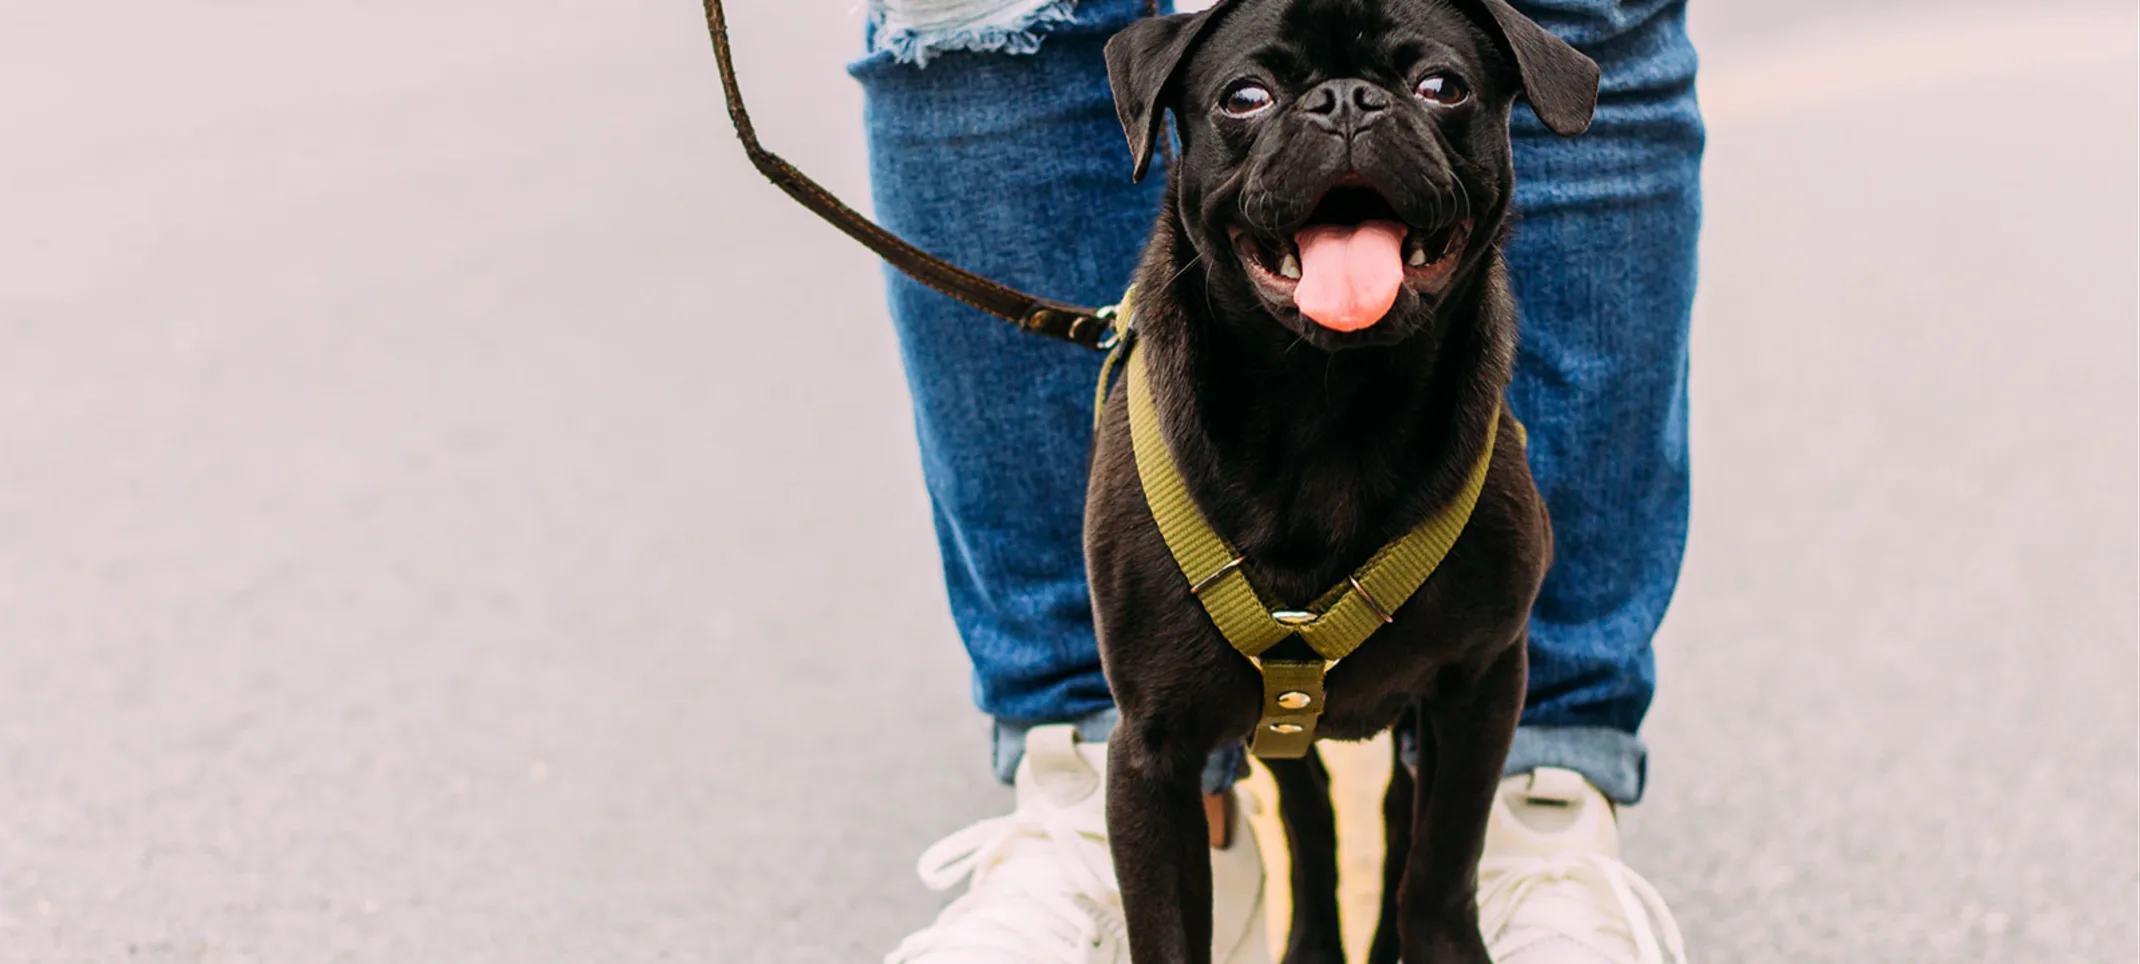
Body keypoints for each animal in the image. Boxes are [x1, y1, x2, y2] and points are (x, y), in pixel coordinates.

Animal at [1087, 1, 1592, 964]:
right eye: (1245, 98)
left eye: (1442, 87)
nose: (1347, 101)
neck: (1329, 410)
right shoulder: (1151, 755)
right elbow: (1170, 926)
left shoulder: (1482, 684)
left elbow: (1438, 864)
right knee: (1310, 813)